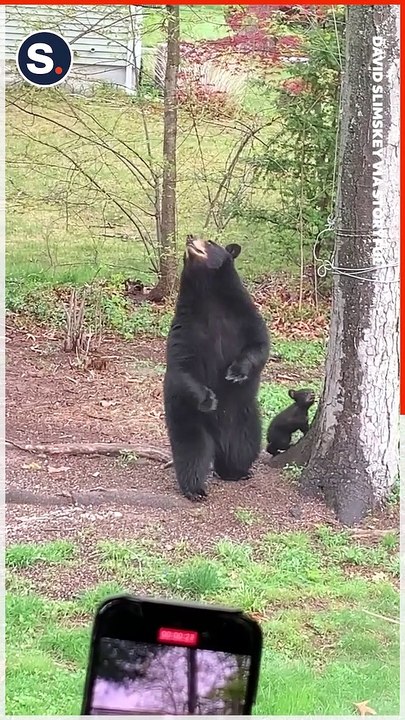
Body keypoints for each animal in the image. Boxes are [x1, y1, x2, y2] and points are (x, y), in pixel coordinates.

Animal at [164, 234, 270, 501]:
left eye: (210, 241)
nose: (190, 237)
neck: (208, 295)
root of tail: (220, 440)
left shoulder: (244, 316)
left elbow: (259, 344)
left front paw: (235, 372)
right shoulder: (185, 326)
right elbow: (181, 365)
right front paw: (208, 398)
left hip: (246, 417)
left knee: (245, 447)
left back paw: (237, 471)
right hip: (187, 417)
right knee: (192, 452)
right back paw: (195, 489)